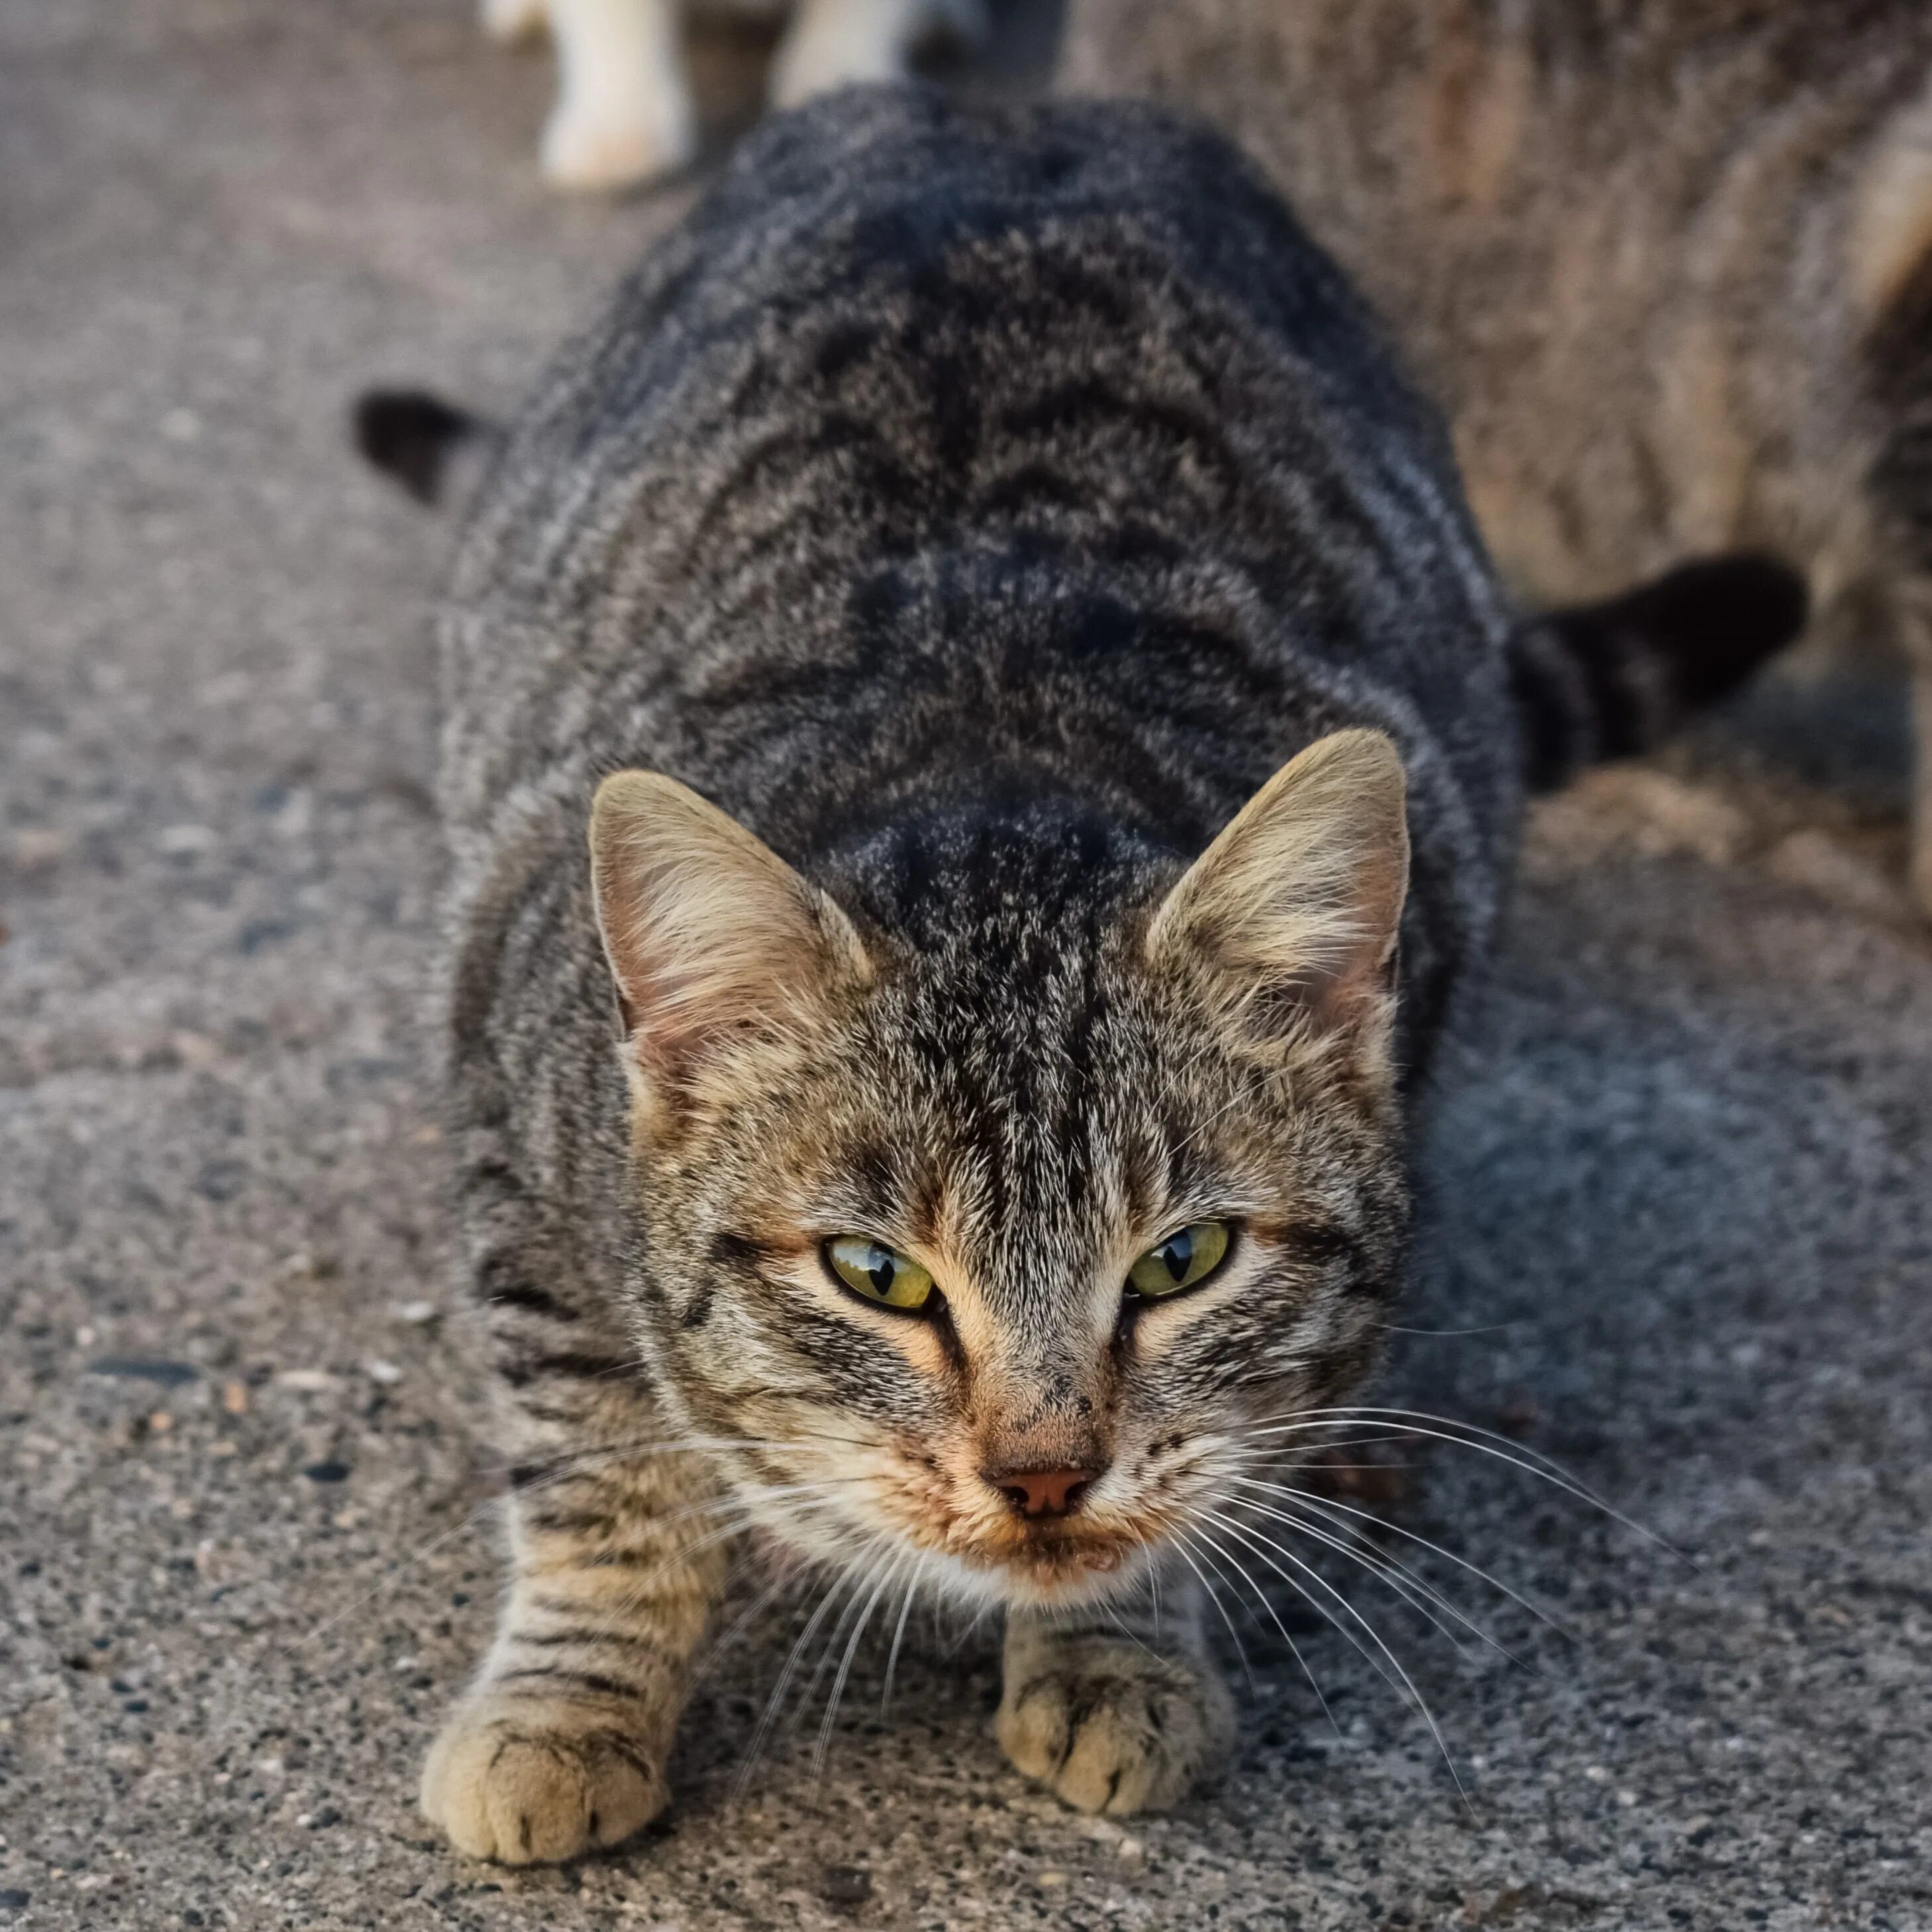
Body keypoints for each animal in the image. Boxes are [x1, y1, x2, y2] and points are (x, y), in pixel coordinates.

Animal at [359, 87, 1792, 1855]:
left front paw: (1117, 1646)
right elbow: (597, 1465)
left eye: (1183, 1261)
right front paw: (566, 1706)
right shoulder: (512, 1120)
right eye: (875, 1273)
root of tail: (997, 101)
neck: (990, 727)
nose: (1043, 1474)